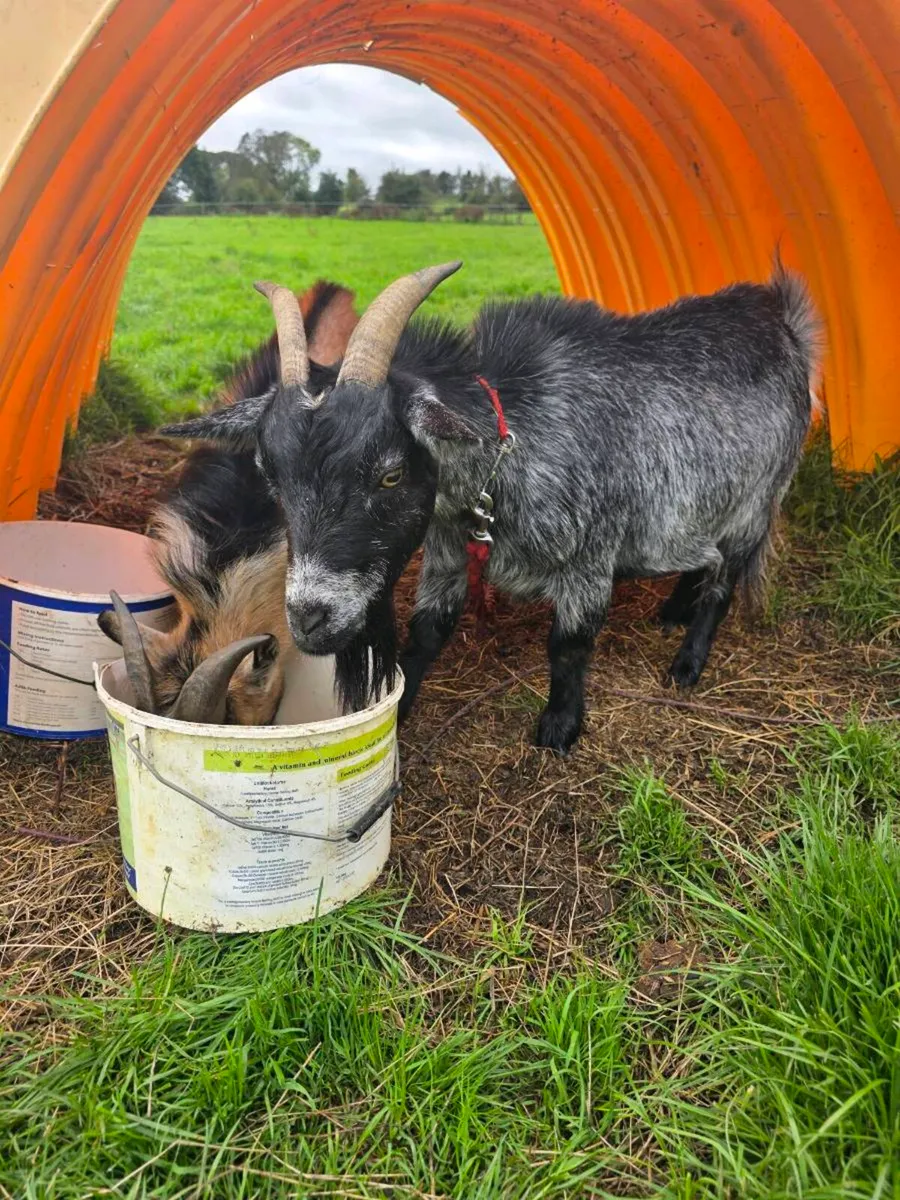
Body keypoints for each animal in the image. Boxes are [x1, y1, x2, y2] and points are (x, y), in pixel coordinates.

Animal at [162, 257, 821, 753]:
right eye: (270, 476)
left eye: (391, 474)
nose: (308, 619)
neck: (510, 449)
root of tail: (783, 321)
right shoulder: (448, 551)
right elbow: (426, 634)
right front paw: (400, 708)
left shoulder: (591, 555)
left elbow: (569, 644)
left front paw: (559, 728)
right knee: (704, 559)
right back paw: (673, 611)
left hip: (757, 501)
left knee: (726, 577)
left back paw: (687, 661)